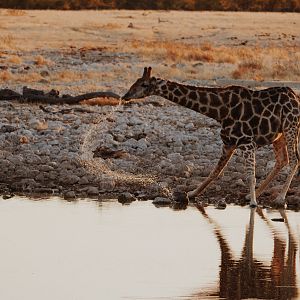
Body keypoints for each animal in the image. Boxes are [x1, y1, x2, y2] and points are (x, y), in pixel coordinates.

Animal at [122, 67, 300, 207]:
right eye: (136, 82)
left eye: (144, 84)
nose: (125, 96)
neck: (220, 111)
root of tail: (296, 98)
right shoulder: (228, 143)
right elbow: (215, 172)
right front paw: (192, 193)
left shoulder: (247, 143)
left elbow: (250, 175)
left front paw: (254, 203)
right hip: (280, 134)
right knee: (282, 160)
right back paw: (254, 195)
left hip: (290, 127)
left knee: (294, 160)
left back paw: (280, 198)